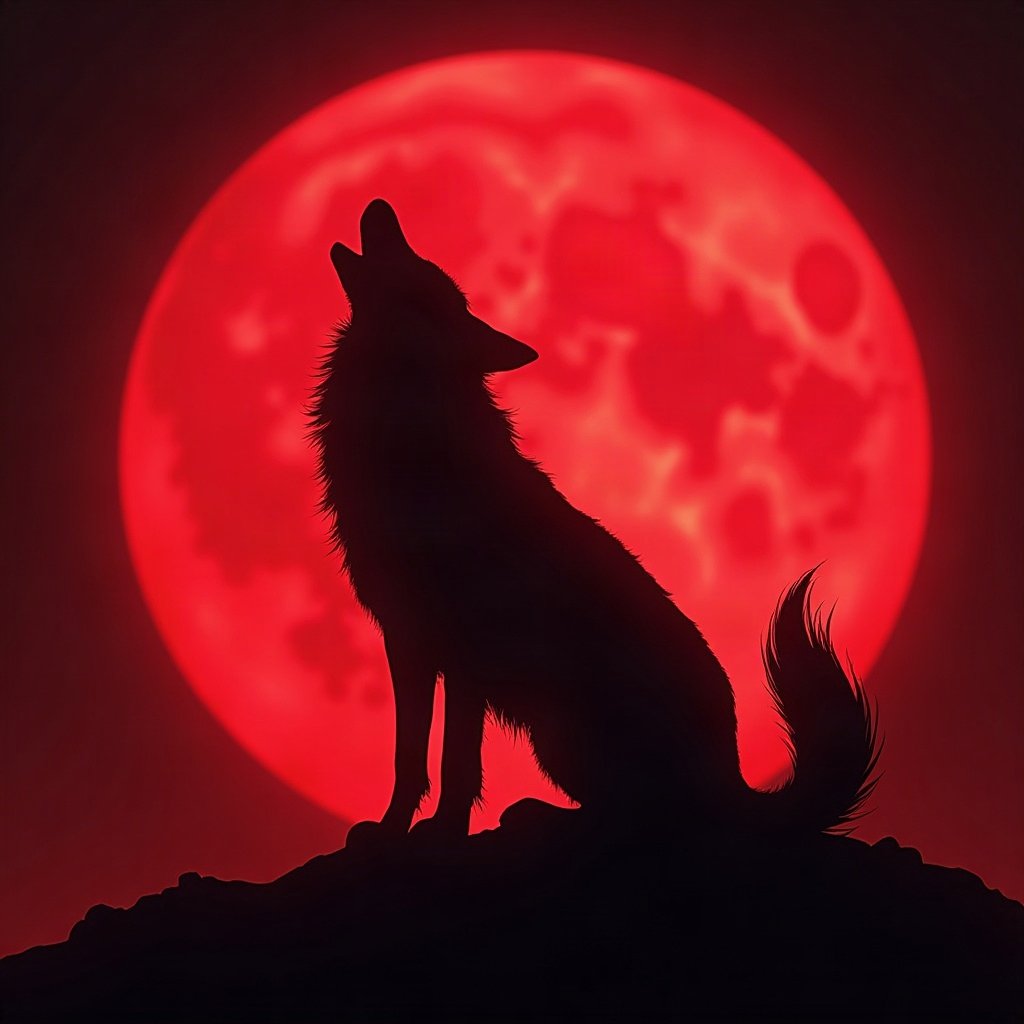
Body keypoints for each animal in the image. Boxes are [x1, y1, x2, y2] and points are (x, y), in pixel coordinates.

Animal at [309, 198, 879, 845]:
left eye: (420, 269)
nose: (381, 205)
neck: (411, 442)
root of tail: (731, 778)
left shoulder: (463, 652)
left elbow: (457, 759)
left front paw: (444, 831)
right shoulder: (407, 642)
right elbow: (409, 754)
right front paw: (390, 828)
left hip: (559, 730)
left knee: (641, 818)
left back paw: (539, 816)